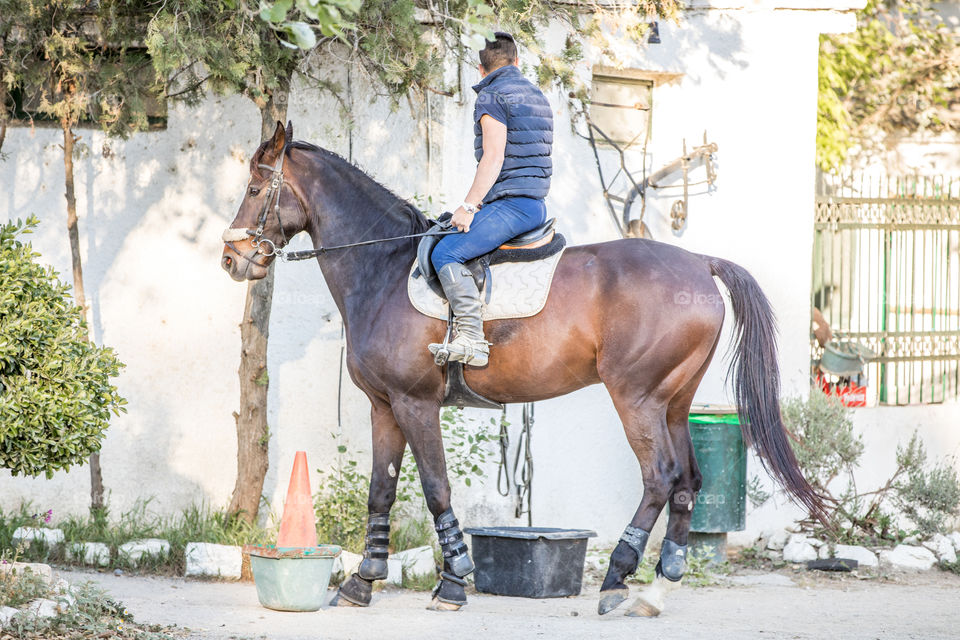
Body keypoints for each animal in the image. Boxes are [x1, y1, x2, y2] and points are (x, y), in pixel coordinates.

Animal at [221, 122, 820, 616]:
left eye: (253, 190)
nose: (232, 260)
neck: (384, 268)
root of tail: (699, 262)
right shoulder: (384, 407)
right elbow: (381, 490)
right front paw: (361, 582)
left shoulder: (416, 404)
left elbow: (435, 487)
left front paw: (453, 584)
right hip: (674, 402)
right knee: (688, 481)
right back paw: (654, 589)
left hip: (637, 398)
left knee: (660, 477)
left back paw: (616, 580)